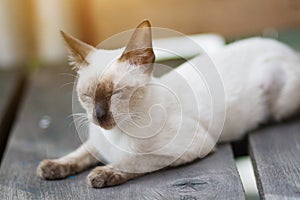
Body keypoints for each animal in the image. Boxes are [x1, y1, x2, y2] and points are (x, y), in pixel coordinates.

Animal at [37, 19, 300, 188]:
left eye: (117, 93)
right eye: (87, 96)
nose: (98, 116)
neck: (118, 133)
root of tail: (288, 50)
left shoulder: (191, 146)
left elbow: (133, 161)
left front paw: (103, 174)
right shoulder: (97, 142)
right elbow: (79, 153)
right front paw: (52, 167)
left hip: (278, 97)